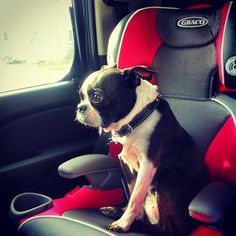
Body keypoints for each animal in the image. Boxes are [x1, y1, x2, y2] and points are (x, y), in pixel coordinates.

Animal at [76, 66, 208, 236]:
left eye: (97, 97)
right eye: (81, 97)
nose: (80, 107)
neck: (136, 120)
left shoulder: (148, 165)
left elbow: (135, 197)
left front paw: (124, 224)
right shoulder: (126, 162)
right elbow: (133, 192)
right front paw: (131, 216)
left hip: (169, 181)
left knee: (167, 230)